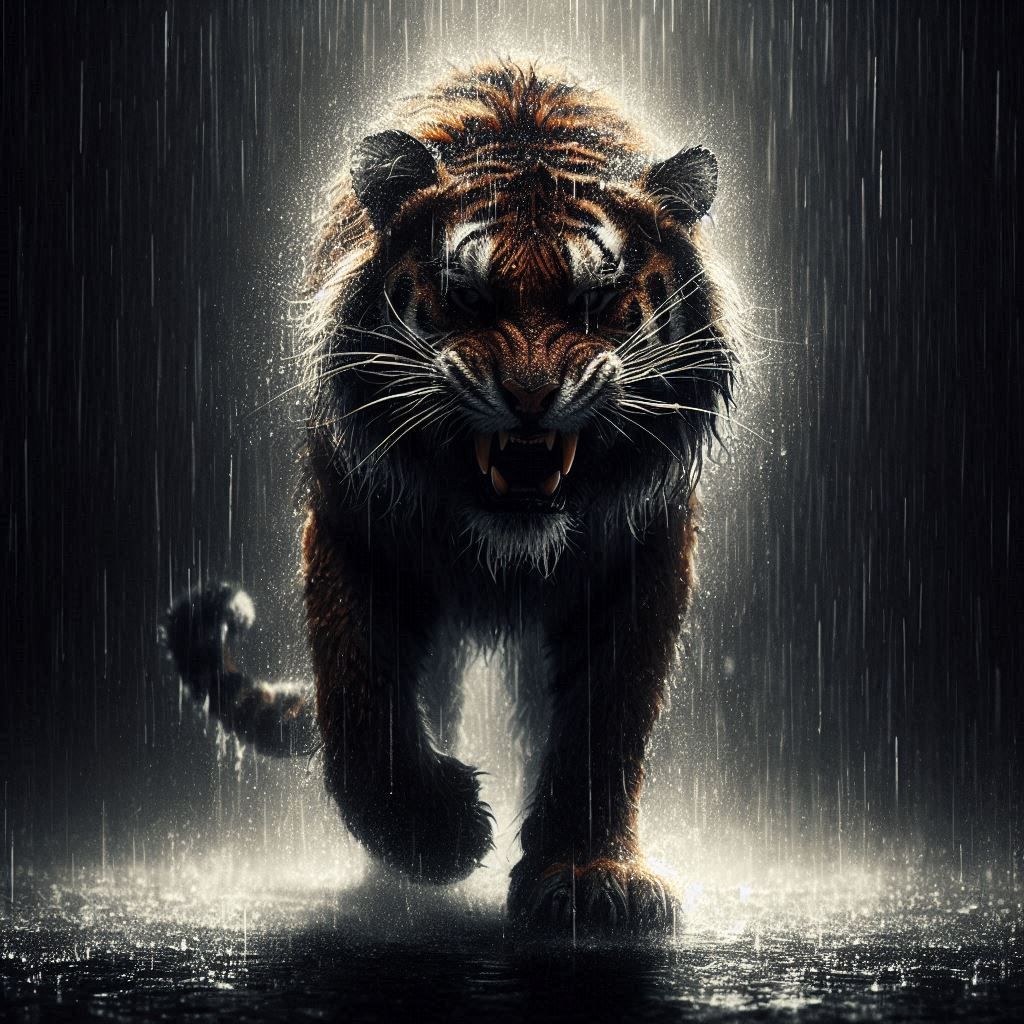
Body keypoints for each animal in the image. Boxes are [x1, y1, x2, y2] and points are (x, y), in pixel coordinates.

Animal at [165, 59, 741, 935]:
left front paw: (588, 877)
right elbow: (360, 699)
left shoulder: (642, 554)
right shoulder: (355, 528)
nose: (531, 399)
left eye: (593, 302)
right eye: (468, 298)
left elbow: (606, 722)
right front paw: (437, 836)